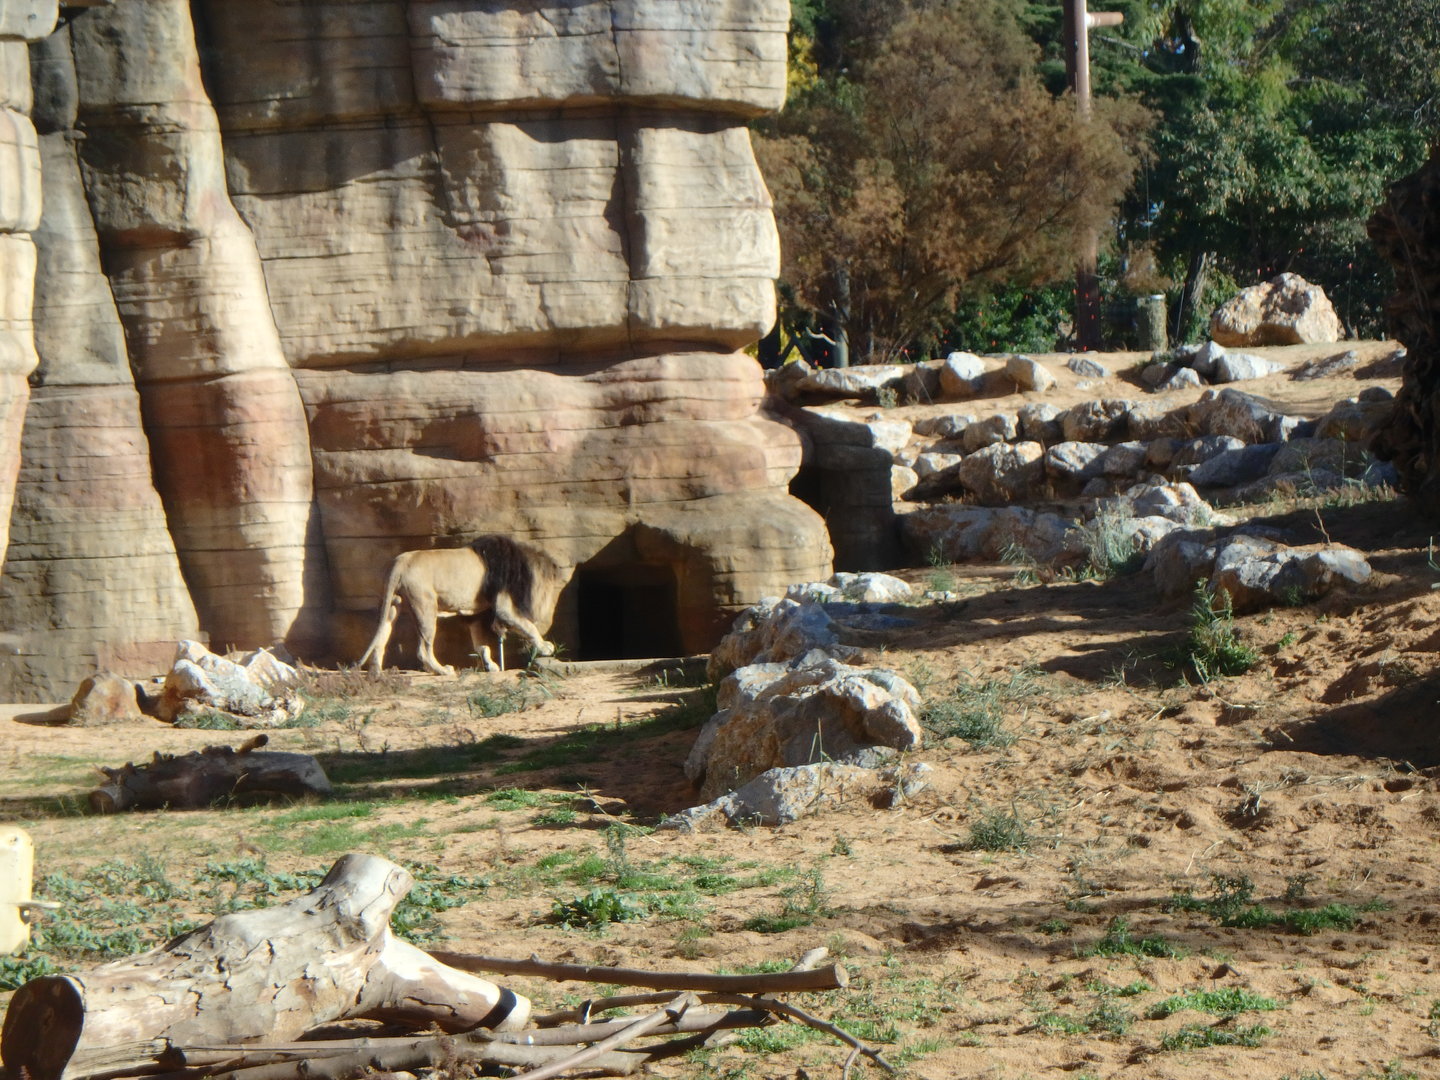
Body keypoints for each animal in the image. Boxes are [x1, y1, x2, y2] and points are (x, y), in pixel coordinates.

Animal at [357, 535, 560, 676]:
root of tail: (400, 562)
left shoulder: (475, 613)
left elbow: (481, 644)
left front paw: (491, 665)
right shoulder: (504, 606)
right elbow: (528, 626)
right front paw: (545, 647)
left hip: (392, 604)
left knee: (381, 636)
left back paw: (376, 673)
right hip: (425, 606)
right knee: (423, 649)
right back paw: (442, 670)